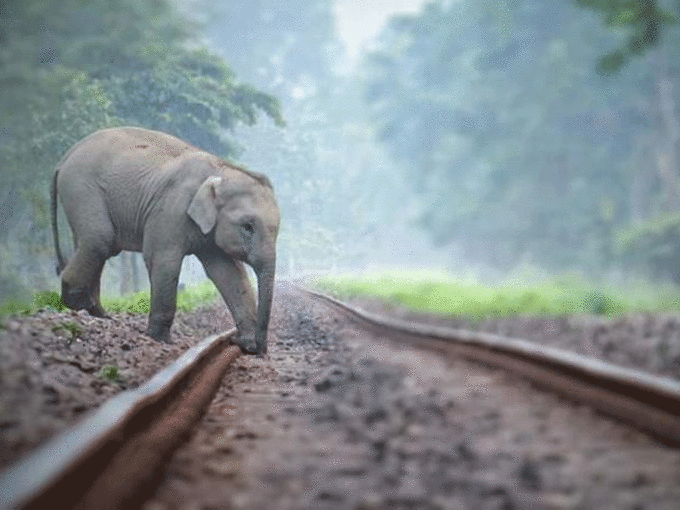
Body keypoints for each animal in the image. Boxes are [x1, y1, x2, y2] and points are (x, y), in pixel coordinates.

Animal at [49, 126, 278, 354]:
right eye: (247, 226)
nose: (259, 348)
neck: (220, 169)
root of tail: (65, 157)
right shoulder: (171, 208)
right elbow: (163, 260)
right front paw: (158, 339)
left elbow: (228, 272)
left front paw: (247, 344)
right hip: (81, 188)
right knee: (99, 240)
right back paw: (77, 304)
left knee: (93, 244)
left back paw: (98, 312)